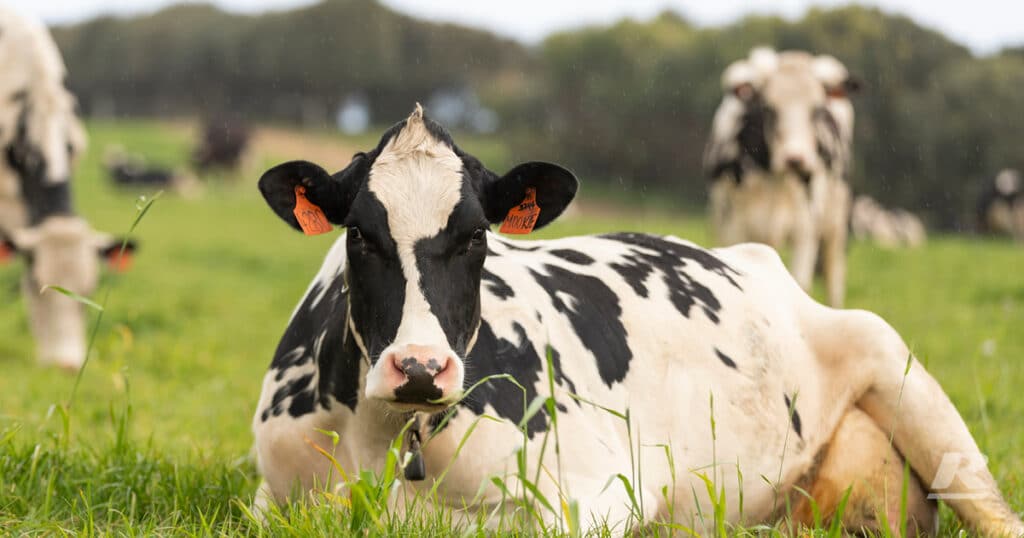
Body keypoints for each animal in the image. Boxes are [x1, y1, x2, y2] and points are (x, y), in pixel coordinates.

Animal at [249, 106, 1024, 536]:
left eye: (475, 236)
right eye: (360, 234)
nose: (419, 367)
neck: (381, 439)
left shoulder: (590, 494)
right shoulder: (272, 495)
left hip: (904, 374)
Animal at [704, 48, 856, 307]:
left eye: (816, 109)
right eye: (768, 108)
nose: (795, 158)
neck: (775, 179)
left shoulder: (805, 230)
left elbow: (800, 284)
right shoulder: (735, 225)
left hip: (835, 220)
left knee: (834, 274)